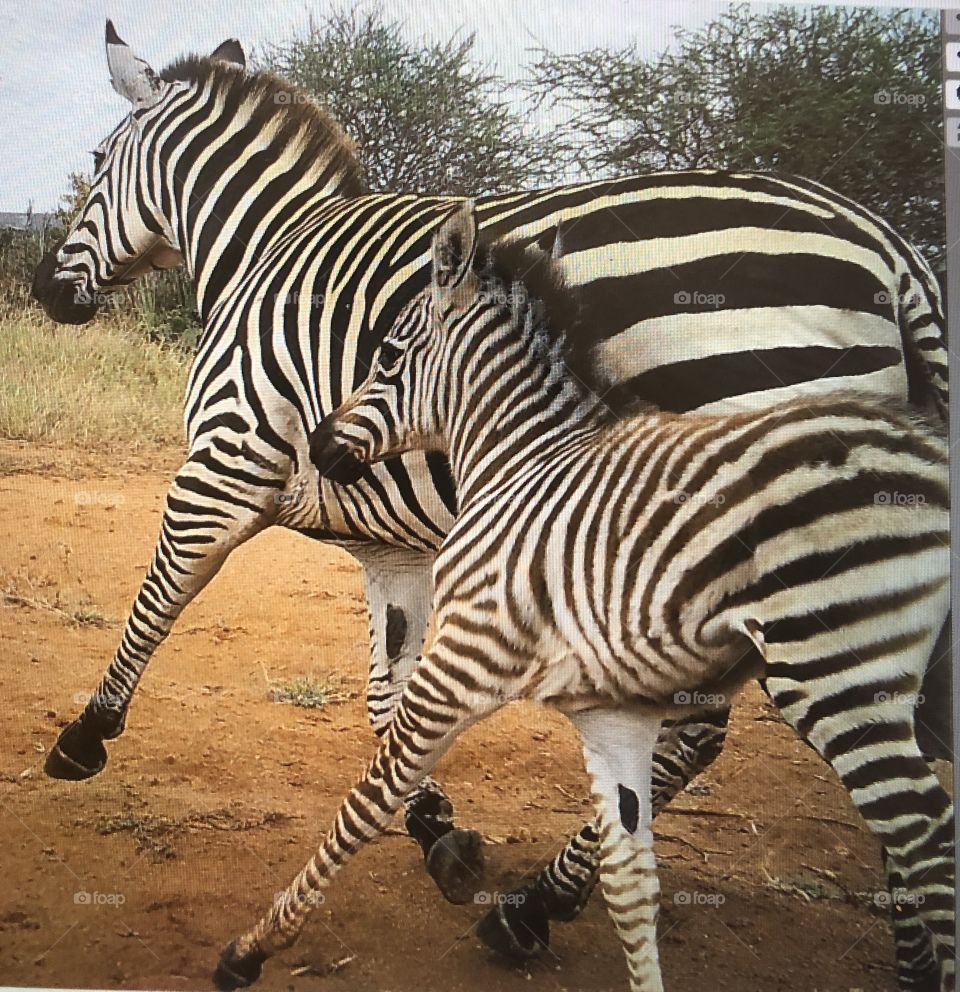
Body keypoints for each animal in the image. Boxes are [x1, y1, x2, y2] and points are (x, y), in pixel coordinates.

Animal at [215, 201, 955, 992]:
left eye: (385, 356)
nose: (319, 448)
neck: (520, 459)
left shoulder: (468, 651)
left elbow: (372, 789)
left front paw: (253, 948)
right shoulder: (611, 707)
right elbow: (631, 880)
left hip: (836, 674)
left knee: (923, 835)